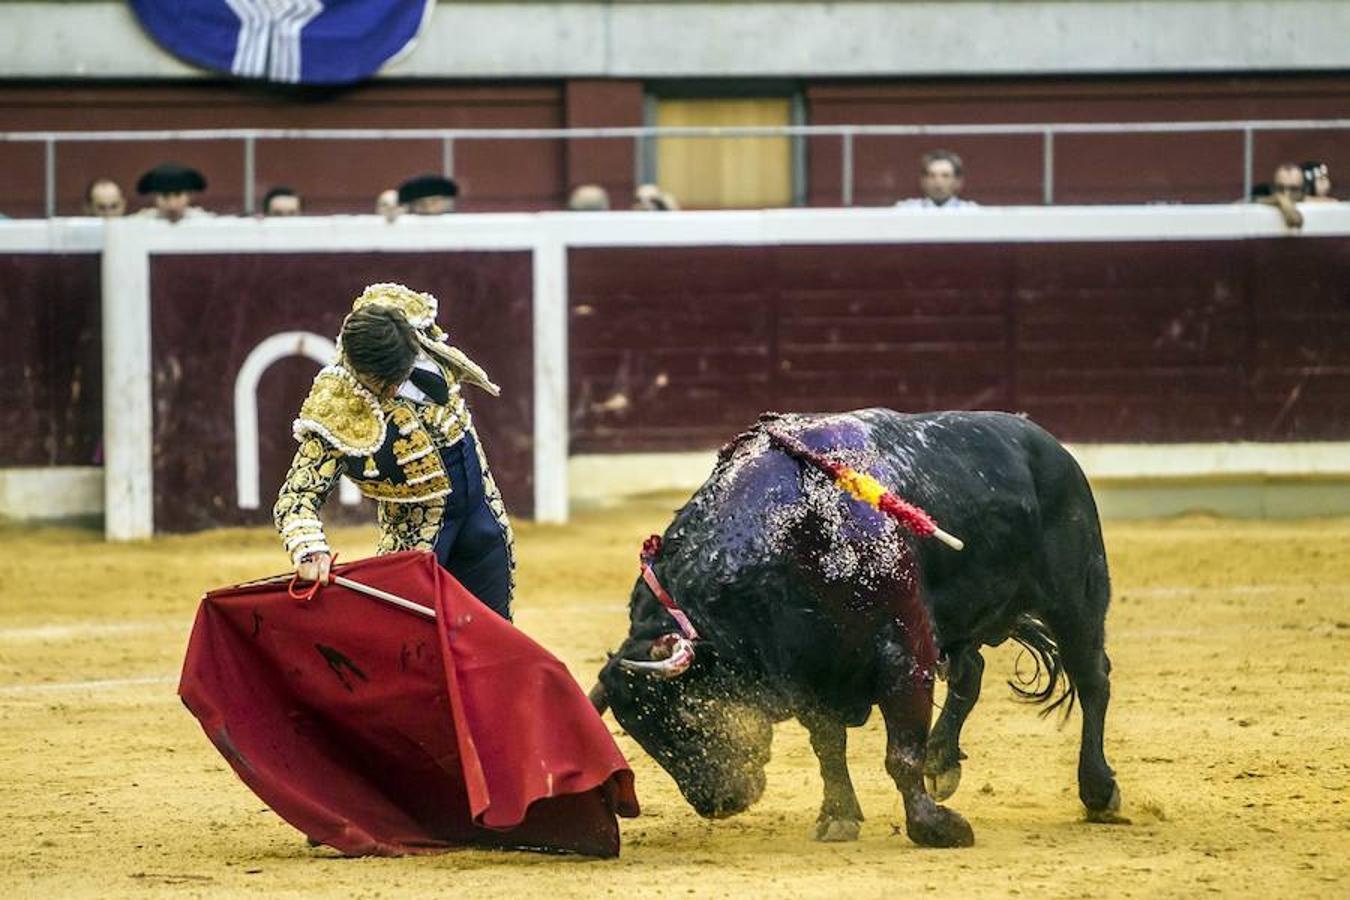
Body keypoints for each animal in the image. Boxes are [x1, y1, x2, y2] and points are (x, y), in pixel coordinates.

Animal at [591, 412, 1117, 847]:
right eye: (638, 733)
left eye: (685, 714)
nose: (716, 804)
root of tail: (1048, 444)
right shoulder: (809, 669)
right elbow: (828, 744)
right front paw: (838, 816)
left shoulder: (905, 651)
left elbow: (900, 753)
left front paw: (936, 827)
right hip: (964, 618)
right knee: (971, 673)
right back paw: (943, 760)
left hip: (1077, 598)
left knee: (1093, 679)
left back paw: (1099, 791)